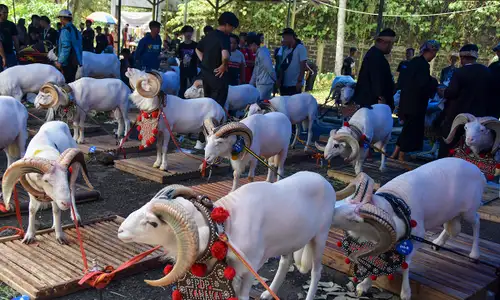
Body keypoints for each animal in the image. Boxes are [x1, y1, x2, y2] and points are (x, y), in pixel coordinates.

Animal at [117, 171, 336, 300]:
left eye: (153, 223)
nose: (120, 230)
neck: (225, 227)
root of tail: (324, 180)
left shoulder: (250, 269)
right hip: (289, 239)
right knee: (285, 261)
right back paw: (268, 293)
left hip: (320, 236)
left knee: (317, 271)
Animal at [332, 158, 484, 298]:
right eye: (346, 200)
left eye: (353, 219)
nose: (330, 211)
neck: (396, 205)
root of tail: (478, 171)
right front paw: (364, 286)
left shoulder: (416, 239)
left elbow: (406, 265)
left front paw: (405, 293)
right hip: (451, 212)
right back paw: (438, 243)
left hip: (469, 211)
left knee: (476, 221)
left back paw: (474, 254)